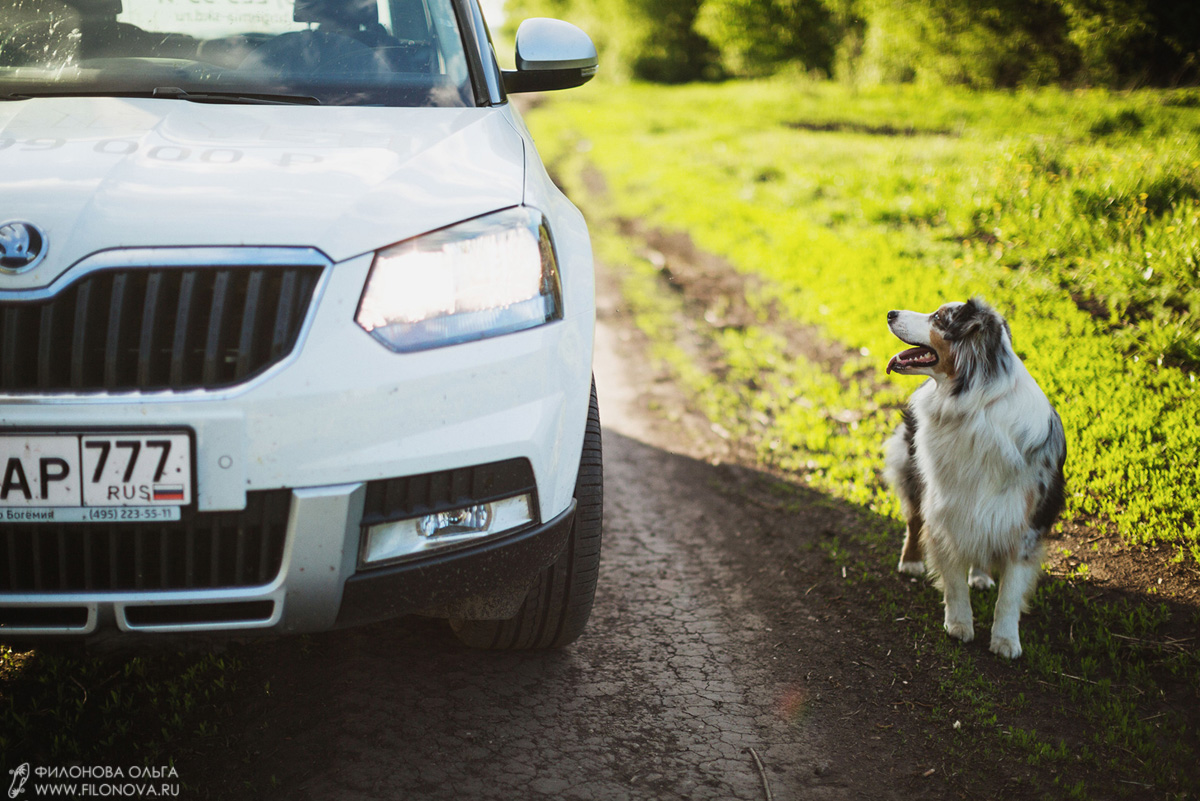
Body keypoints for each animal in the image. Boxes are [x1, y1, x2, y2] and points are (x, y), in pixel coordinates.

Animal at [878, 297, 1065, 661]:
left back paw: (980, 575)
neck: (975, 404)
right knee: (914, 520)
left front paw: (1006, 640)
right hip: (911, 468)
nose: (890, 313)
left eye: (939, 318)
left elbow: (1010, 594)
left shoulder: (1024, 523)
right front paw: (959, 624)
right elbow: (952, 579)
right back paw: (911, 561)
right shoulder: (945, 506)